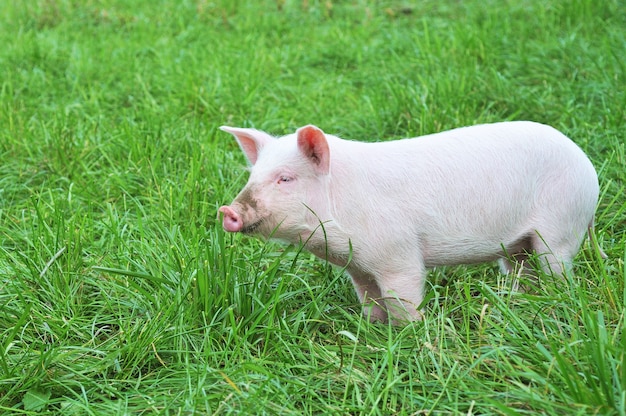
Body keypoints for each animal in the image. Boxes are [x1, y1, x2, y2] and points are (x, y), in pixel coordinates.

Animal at [217, 122, 596, 324]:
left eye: (285, 178)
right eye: (253, 175)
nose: (228, 211)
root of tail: (587, 165)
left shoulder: (398, 254)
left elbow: (404, 296)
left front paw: (408, 334)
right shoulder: (358, 267)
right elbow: (369, 300)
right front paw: (370, 328)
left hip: (560, 227)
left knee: (557, 269)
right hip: (517, 244)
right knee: (521, 268)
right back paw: (519, 301)